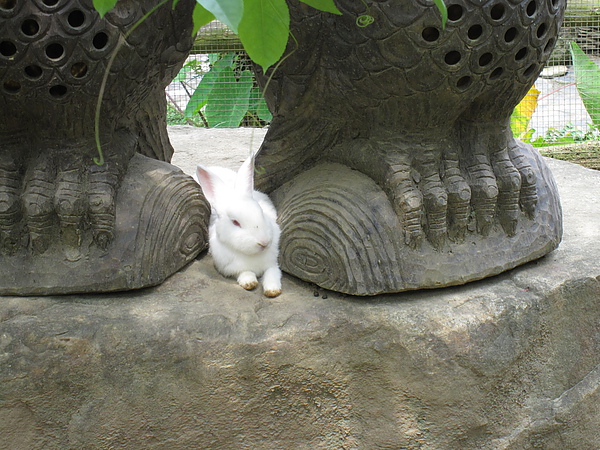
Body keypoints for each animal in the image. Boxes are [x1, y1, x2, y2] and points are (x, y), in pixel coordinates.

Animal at [195, 153, 284, 298]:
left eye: (261, 212)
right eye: (235, 222)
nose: (264, 242)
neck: (251, 255)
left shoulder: (272, 264)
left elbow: (272, 274)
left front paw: (272, 290)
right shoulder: (233, 269)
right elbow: (245, 273)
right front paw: (250, 283)